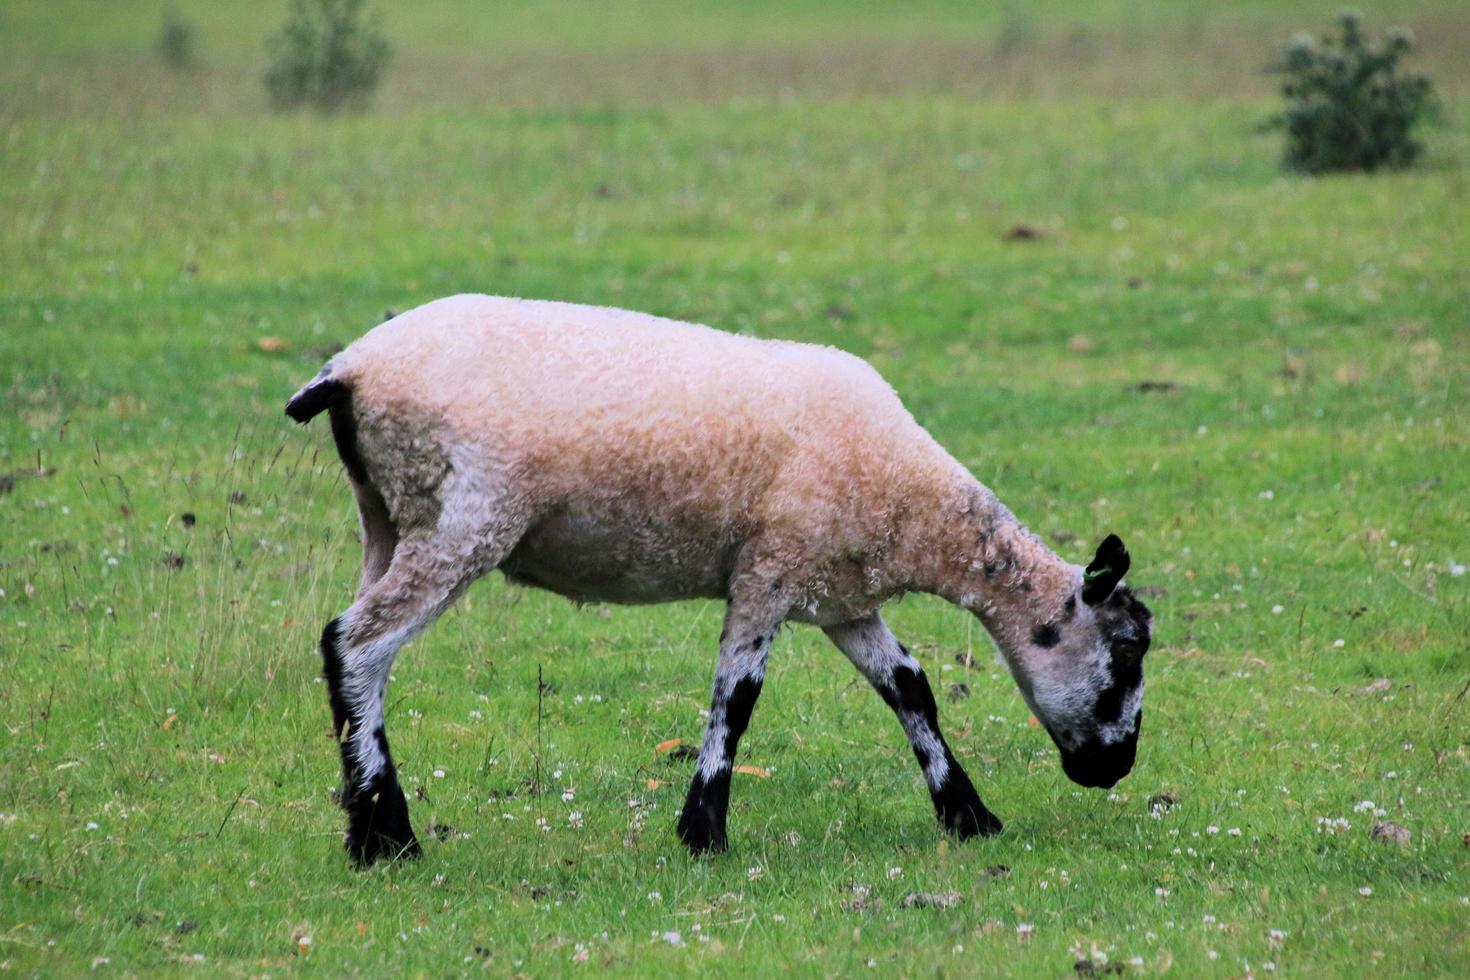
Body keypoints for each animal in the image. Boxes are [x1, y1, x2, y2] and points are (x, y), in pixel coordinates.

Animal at [286, 293, 1152, 863]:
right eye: (1127, 652)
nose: (1113, 770)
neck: (913, 504)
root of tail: (348, 370)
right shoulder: (769, 572)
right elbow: (736, 699)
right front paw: (704, 831)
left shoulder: (837, 594)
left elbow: (910, 687)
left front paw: (968, 815)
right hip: (462, 518)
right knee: (357, 645)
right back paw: (387, 836)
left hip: (386, 515)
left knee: (351, 649)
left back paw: (366, 823)